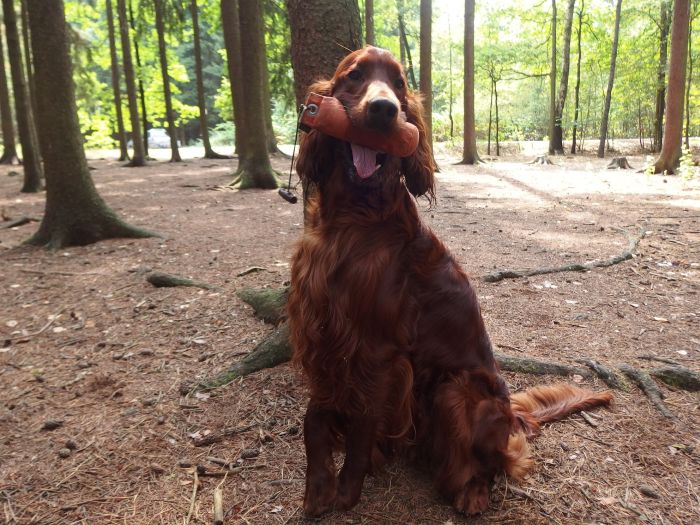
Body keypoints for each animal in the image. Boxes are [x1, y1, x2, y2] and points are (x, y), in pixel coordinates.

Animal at [288, 46, 608, 516]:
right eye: (355, 76)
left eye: (399, 84)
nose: (384, 110)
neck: (353, 217)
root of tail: (514, 415)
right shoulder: (322, 331)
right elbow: (315, 414)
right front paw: (318, 486)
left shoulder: (376, 350)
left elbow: (362, 423)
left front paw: (346, 491)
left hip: (454, 391)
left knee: (497, 462)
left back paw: (470, 491)